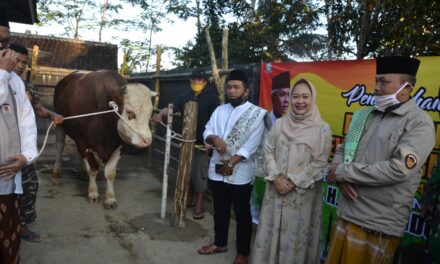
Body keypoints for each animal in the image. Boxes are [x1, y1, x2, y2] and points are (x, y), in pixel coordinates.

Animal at [52, 69, 156, 208]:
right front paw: (93, 193)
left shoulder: (119, 144)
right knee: (59, 146)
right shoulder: (83, 141)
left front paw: (110, 199)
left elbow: (110, 173)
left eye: (150, 113)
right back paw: (57, 170)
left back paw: (82, 172)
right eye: (130, 112)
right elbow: (92, 169)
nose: (147, 140)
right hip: (59, 122)